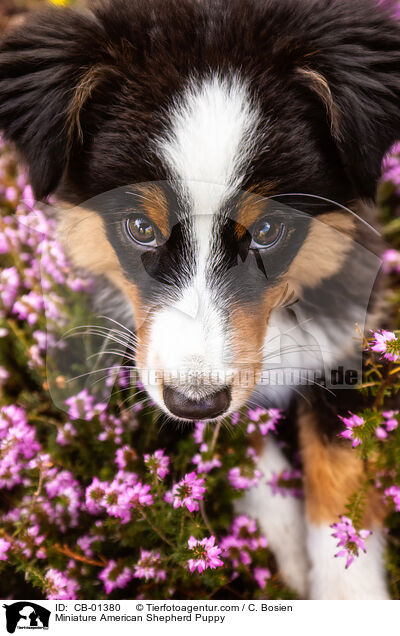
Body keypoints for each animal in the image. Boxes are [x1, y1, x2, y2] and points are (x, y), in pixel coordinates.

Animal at [0, 0, 400, 600]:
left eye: (269, 232)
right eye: (140, 228)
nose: (194, 402)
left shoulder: (346, 324)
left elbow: (339, 468)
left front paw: (348, 598)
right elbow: (238, 447)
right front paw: (281, 547)